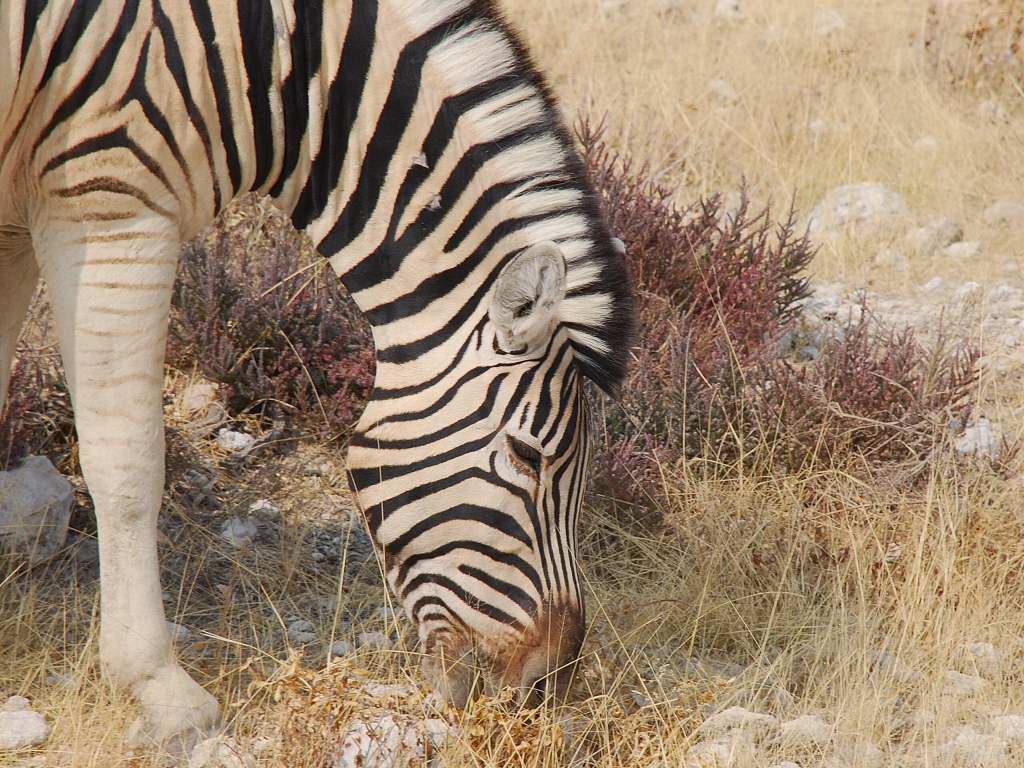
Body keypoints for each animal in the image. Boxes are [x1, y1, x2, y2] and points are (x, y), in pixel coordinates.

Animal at [0, 0, 632, 747]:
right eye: (529, 457)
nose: (544, 687)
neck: (268, 56)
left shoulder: (19, 216)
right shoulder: (111, 201)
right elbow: (129, 463)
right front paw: (161, 691)